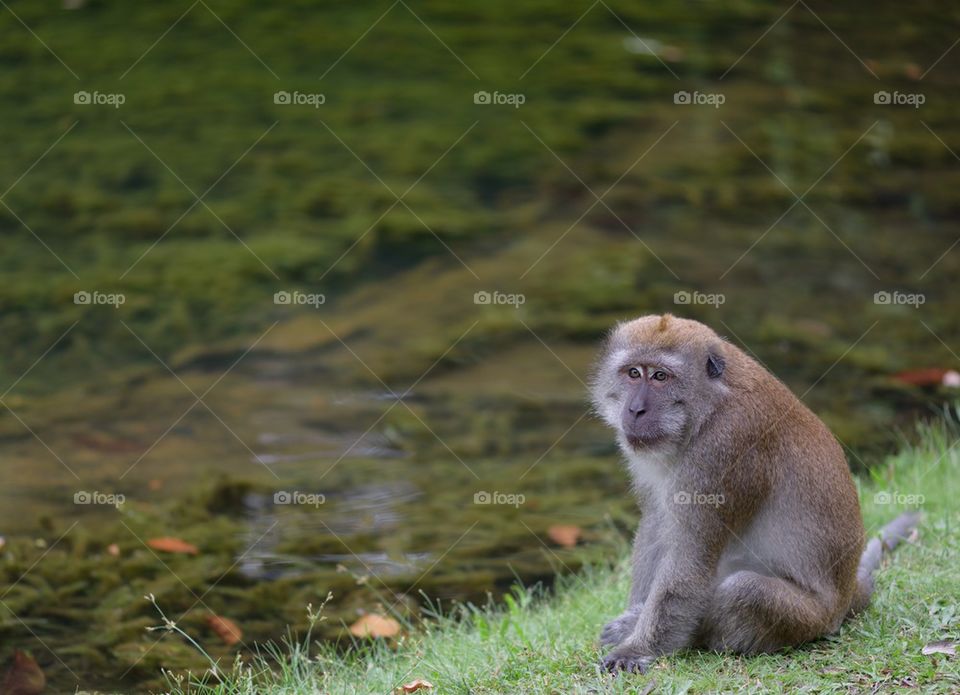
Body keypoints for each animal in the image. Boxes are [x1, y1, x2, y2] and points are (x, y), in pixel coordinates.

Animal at [588, 316, 920, 676]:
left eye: (661, 376)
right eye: (633, 373)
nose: (635, 409)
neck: (707, 409)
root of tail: (849, 594)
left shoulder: (723, 450)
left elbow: (690, 561)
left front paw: (637, 648)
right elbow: (656, 524)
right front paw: (633, 620)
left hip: (810, 619)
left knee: (744, 590)